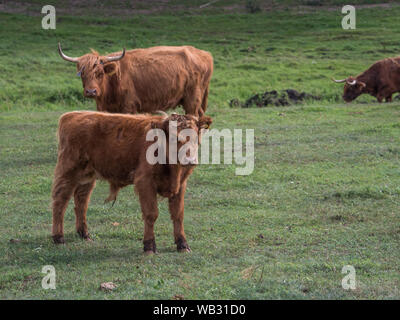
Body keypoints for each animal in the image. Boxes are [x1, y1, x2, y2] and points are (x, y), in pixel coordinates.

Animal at [52, 111, 212, 254]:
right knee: (60, 201)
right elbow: (151, 214)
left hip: (87, 177)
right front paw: (149, 246)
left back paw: (84, 234)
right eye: (174, 138)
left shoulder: (180, 185)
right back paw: (58, 238)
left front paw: (182, 244)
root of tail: (72, 115)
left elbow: (178, 214)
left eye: (195, 137)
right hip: (68, 173)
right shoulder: (145, 182)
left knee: (81, 202)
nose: (190, 160)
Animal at [57, 43, 212, 116]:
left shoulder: (128, 107)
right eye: (82, 73)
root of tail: (204, 54)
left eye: (100, 73)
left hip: (192, 99)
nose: (91, 91)